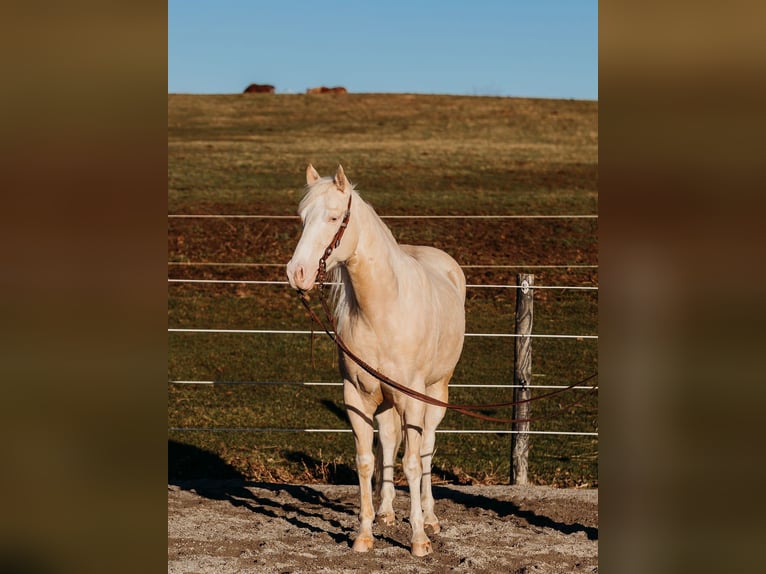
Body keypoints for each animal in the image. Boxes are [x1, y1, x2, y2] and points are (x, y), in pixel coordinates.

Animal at [286, 165, 466, 556]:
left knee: (425, 450)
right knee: (387, 441)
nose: (297, 273)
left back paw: (430, 517)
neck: (383, 309)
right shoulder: (356, 396)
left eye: (334, 217)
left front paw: (419, 539)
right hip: (384, 401)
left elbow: (412, 463)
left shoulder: (413, 398)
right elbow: (367, 460)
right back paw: (385, 512)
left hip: (436, 393)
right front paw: (364, 533)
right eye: (302, 218)